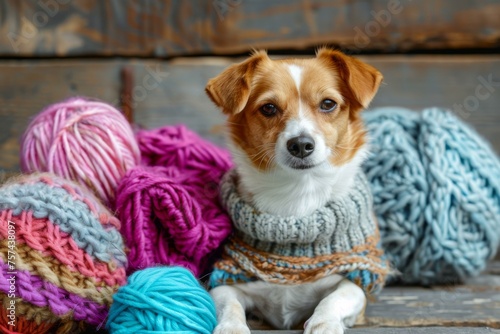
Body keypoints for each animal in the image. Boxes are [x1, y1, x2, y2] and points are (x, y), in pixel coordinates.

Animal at [205, 47, 384, 334]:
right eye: (268, 108)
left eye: (328, 104)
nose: (300, 144)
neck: (299, 193)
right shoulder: (226, 277)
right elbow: (228, 305)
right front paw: (231, 328)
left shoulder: (358, 273)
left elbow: (339, 295)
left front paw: (324, 323)